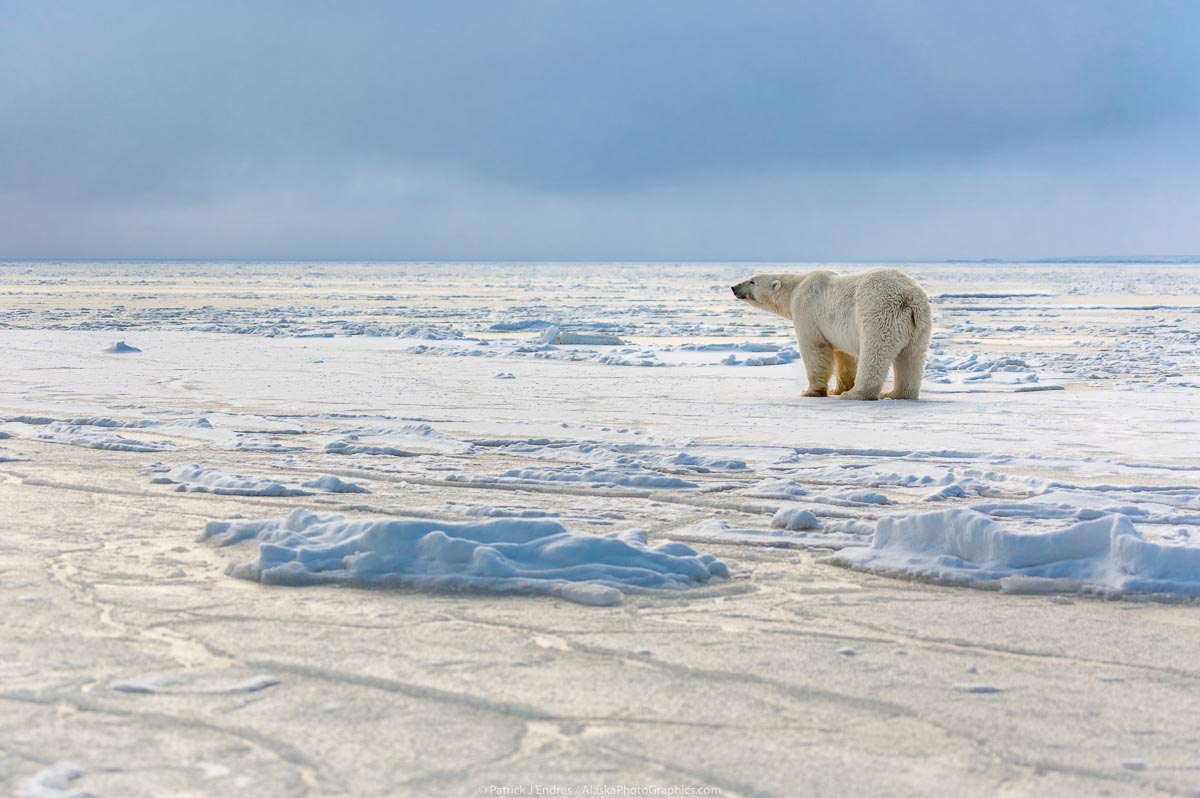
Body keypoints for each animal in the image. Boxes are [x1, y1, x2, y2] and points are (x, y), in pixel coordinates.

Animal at [724, 268, 931, 398]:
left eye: (752, 281)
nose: (733, 287)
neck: (796, 287)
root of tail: (908, 296)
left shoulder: (806, 311)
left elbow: (815, 350)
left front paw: (811, 391)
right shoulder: (838, 330)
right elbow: (843, 356)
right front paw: (837, 389)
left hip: (878, 313)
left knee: (875, 352)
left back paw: (855, 394)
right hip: (919, 324)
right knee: (911, 358)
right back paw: (898, 393)